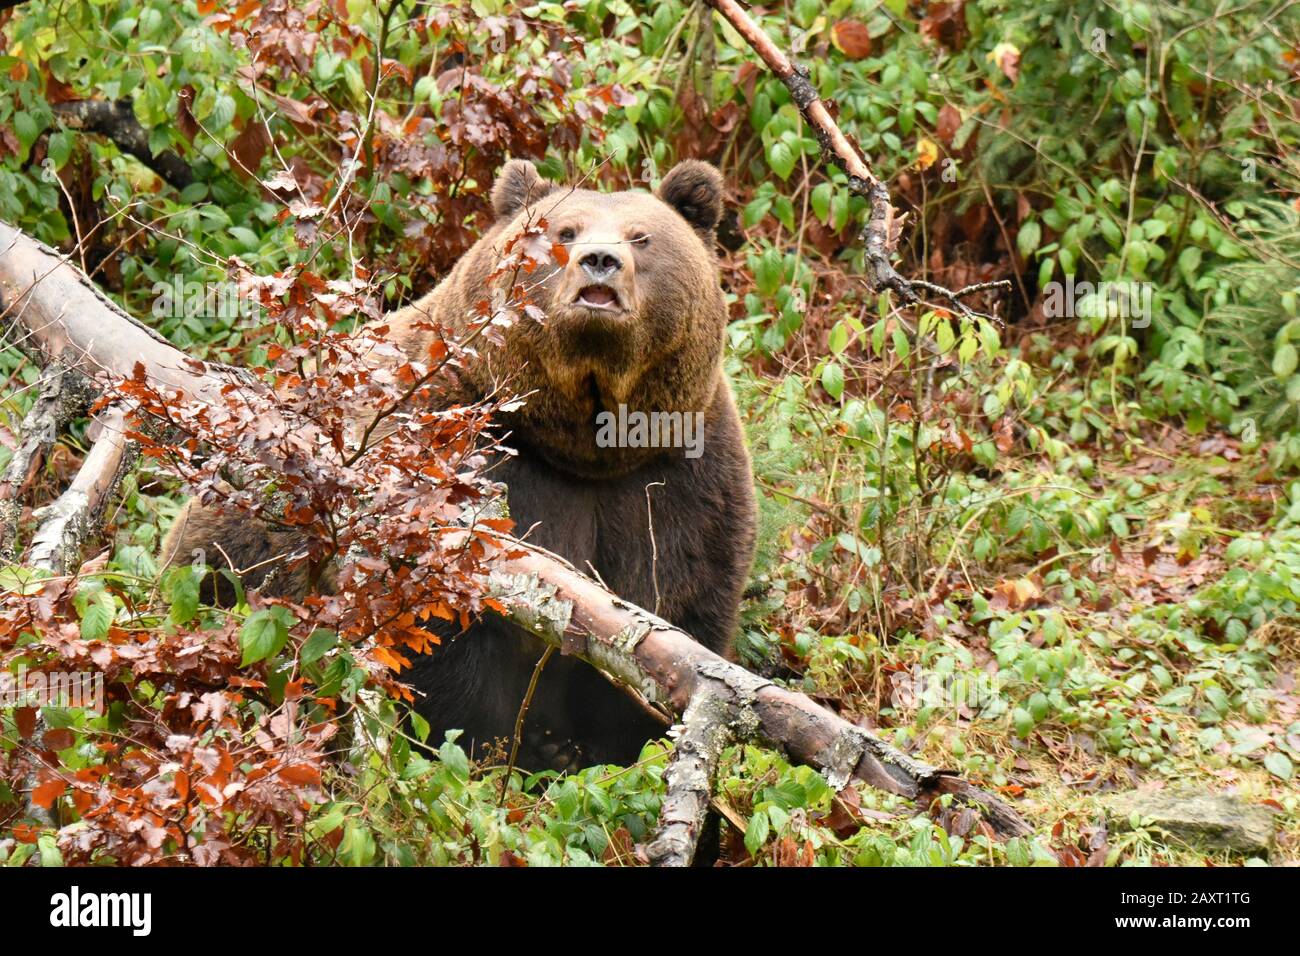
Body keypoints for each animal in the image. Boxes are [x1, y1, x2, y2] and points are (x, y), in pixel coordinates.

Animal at [161, 158, 758, 771]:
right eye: (564, 232)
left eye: (642, 237)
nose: (600, 261)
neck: (581, 443)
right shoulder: (450, 445)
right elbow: (438, 634)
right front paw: (489, 749)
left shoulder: (677, 480)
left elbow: (675, 608)